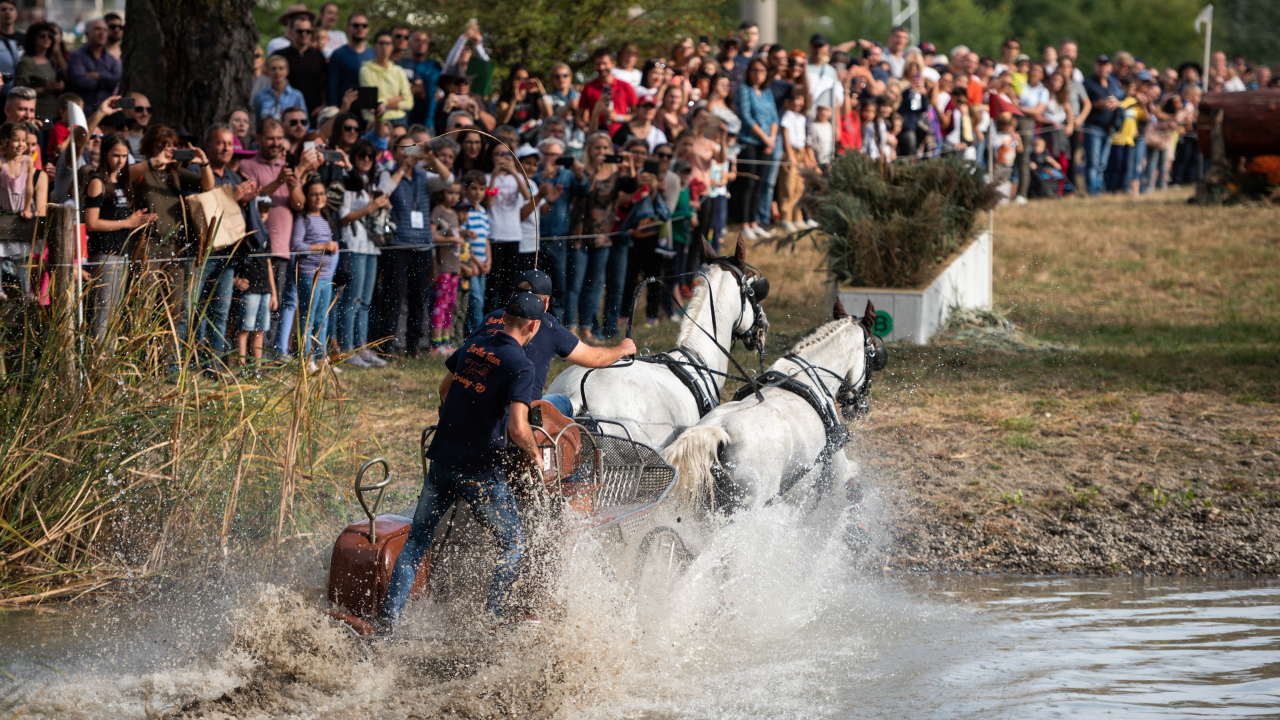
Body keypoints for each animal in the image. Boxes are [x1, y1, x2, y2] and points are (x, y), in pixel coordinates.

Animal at [662, 299, 887, 515]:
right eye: (873, 354)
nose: (861, 408)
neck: (806, 377)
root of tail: (718, 432)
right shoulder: (836, 476)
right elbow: (854, 483)